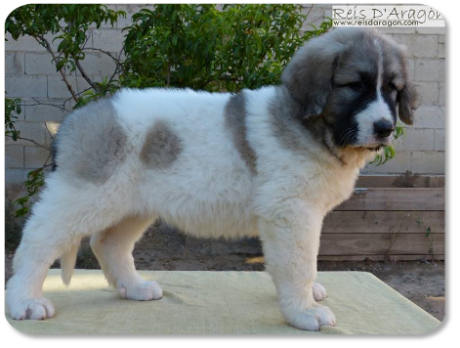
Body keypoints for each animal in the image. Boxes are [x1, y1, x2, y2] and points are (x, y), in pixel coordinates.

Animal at [7, 28, 418, 330]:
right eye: (355, 86)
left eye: (392, 89)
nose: (384, 128)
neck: (311, 126)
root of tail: (73, 120)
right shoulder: (291, 212)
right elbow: (299, 262)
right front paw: (303, 311)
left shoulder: (300, 214)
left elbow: (303, 261)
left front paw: (307, 294)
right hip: (84, 195)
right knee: (39, 240)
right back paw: (25, 300)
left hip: (133, 204)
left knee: (109, 243)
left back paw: (134, 287)